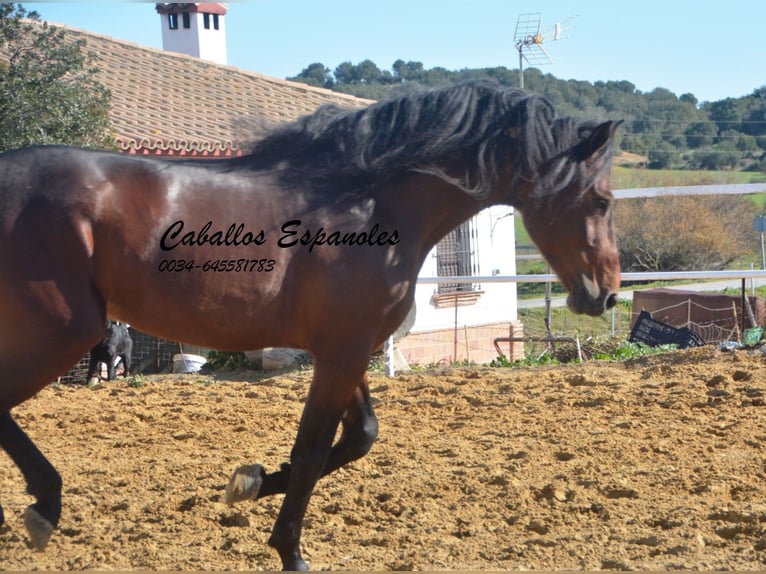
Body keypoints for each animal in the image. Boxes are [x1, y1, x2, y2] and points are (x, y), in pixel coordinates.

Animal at [0, 81, 624, 572]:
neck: (369, 208)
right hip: (61, 332)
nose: (607, 293)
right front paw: (290, 551)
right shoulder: (342, 353)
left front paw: (248, 482)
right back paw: (45, 508)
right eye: (600, 200)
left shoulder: (348, 349)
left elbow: (357, 438)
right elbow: (313, 451)